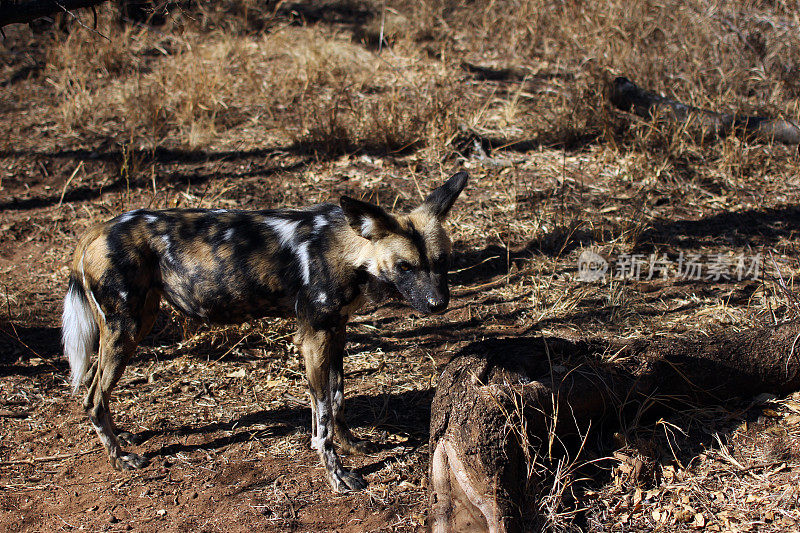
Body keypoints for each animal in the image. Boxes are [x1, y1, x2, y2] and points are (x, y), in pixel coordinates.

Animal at [62, 170, 468, 490]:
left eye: (444, 260)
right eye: (404, 266)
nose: (438, 304)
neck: (349, 251)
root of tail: (96, 229)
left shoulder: (335, 331)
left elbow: (336, 399)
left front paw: (351, 444)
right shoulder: (313, 338)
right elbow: (323, 418)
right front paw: (337, 476)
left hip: (136, 324)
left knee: (94, 392)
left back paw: (121, 437)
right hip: (126, 329)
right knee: (93, 397)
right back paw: (119, 459)